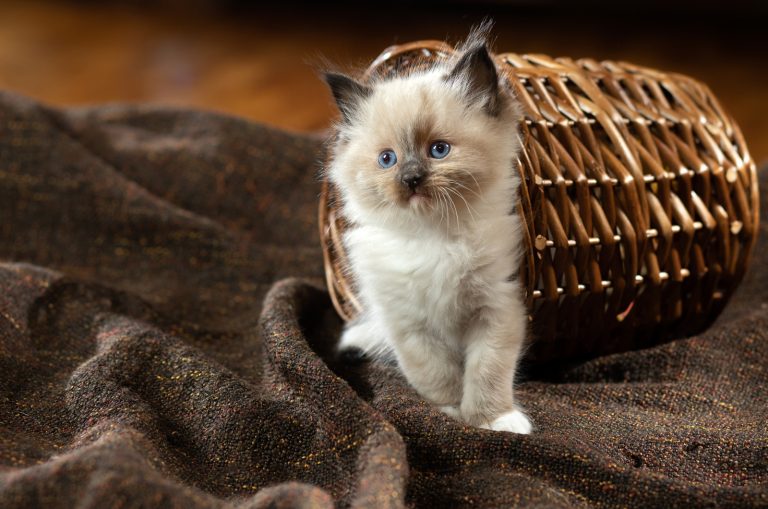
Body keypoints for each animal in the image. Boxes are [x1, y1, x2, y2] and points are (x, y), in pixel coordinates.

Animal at [320, 28, 532, 432]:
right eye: (387, 159)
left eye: (439, 150)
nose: (411, 179)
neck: (432, 237)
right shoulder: (408, 323)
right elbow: (435, 374)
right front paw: (449, 413)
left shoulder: (495, 307)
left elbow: (488, 370)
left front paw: (493, 420)